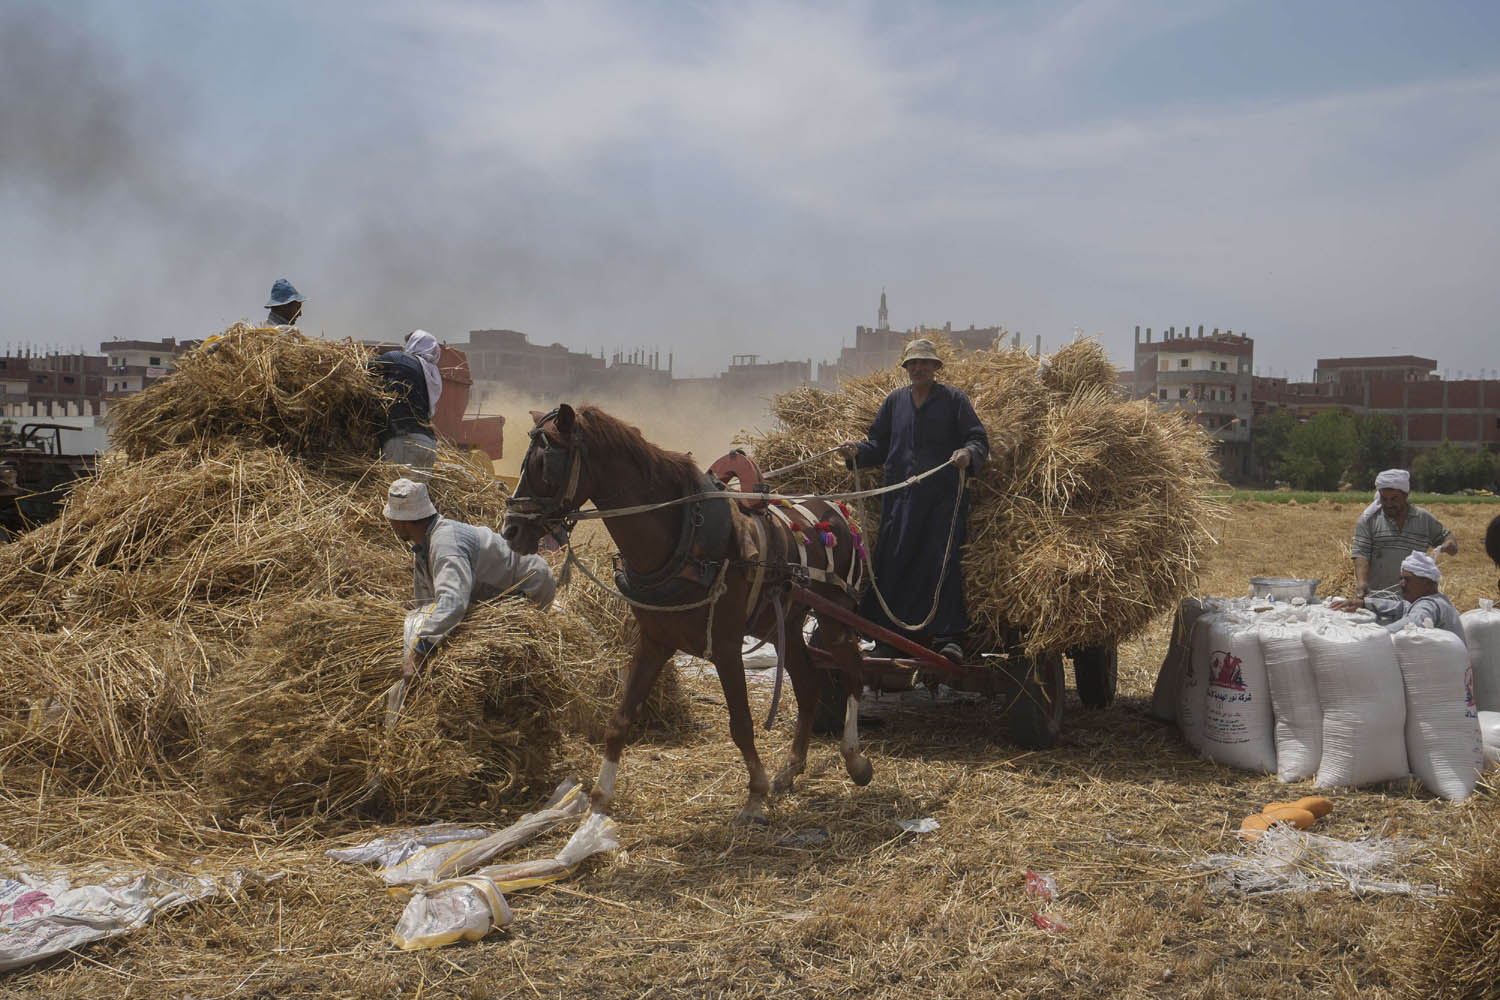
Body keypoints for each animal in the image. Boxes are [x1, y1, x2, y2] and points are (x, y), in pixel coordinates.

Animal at [501, 401, 870, 827]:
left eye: (545, 464)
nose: (510, 530)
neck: (685, 540)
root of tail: (836, 508)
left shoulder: (725, 645)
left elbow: (741, 723)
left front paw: (755, 794)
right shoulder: (654, 641)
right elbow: (619, 720)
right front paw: (599, 799)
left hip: (836, 617)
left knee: (854, 672)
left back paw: (854, 758)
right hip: (786, 623)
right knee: (809, 684)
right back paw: (791, 769)